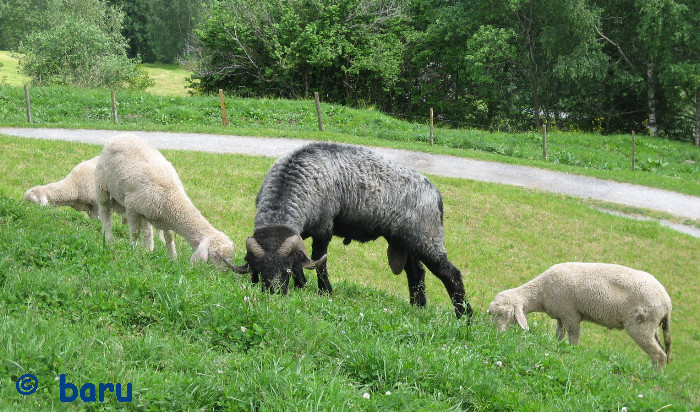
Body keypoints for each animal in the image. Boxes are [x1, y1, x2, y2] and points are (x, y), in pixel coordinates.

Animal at [93, 134, 234, 266]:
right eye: (216, 255)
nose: (223, 273)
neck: (171, 196)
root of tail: (121, 135)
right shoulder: (131, 207)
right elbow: (134, 233)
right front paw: (132, 253)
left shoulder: (165, 218)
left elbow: (169, 238)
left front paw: (173, 259)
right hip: (102, 186)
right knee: (106, 213)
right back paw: (108, 240)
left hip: (144, 210)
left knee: (147, 230)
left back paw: (147, 250)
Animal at [230, 141, 470, 318]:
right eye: (258, 271)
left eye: (285, 271)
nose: (274, 296)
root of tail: (435, 193)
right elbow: (303, 260)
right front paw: (302, 285)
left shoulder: (323, 228)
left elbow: (319, 262)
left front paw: (325, 291)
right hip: (404, 241)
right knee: (416, 273)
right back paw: (417, 308)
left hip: (426, 238)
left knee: (450, 274)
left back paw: (464, 317)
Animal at [486, 264, 672, 370]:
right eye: (492, 315)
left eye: (507, 315)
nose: (497, 336)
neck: (541, 292)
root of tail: (667, 303)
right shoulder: (561, 315)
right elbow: (559, 336)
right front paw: (558, 347)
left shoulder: (571, 315)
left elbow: (573, 339)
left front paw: (572, 354)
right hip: (652, 326)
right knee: (661, 350)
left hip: (640, 325)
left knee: (658, 355)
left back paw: (654, 376)